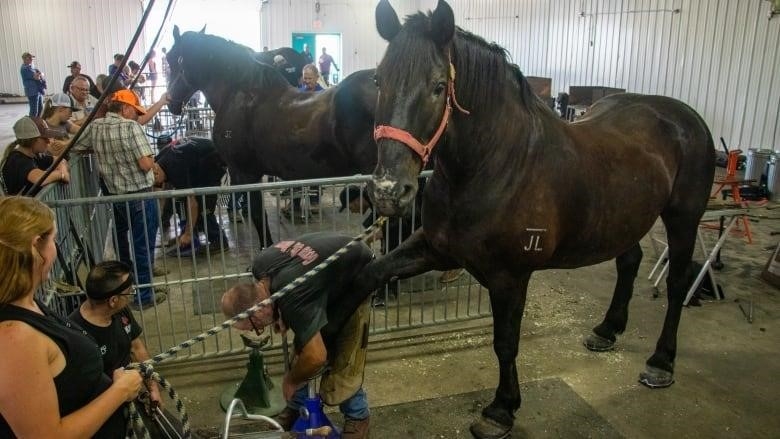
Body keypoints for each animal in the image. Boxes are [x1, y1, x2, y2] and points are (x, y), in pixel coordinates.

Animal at [350, 1, 716, 438]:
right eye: (378, 80)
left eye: (439, 86)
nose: (389, 191)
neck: (495, 165)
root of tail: (685, 117)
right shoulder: (436, 249)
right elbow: (371, 274)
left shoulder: (510, 276)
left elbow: (505, 342)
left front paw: (501, 409)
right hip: (625, 220)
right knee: (629, 263)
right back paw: (607, 330)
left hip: (683, 220)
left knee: (678, 283)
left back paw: (661, 362)